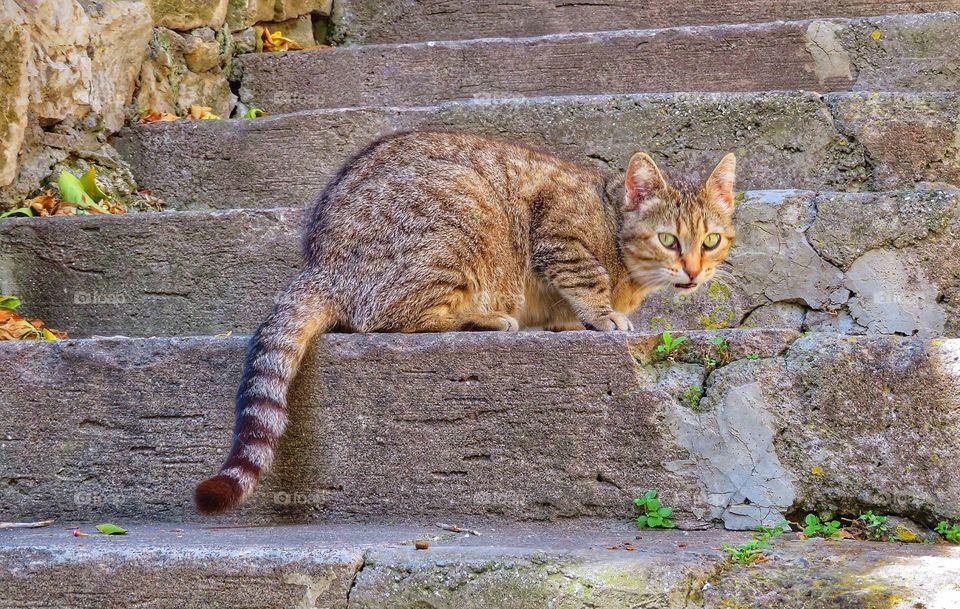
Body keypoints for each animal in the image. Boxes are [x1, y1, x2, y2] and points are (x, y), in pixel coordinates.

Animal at [193, 129, 736, 512]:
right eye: (669, 240)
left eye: (711, 241)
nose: (693, 271)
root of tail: (320, 262)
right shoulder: (559, 232)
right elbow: (586, 279)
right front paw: (602, 316)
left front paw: (571, 321)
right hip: (463, 206)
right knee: (384, 317)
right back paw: (484, 319)